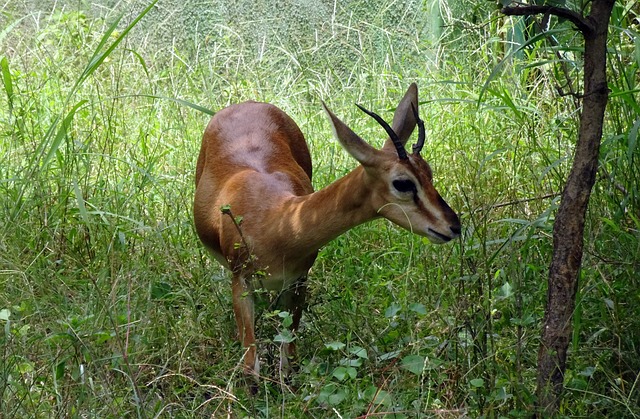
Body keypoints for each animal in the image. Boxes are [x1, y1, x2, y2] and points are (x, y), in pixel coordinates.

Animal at [192, 83, 458, 382]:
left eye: (429, 173)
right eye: (403, 182)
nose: (453, 226)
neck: (279, 221)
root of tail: (247, 103)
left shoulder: (298, 279)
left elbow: (289, 359)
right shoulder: (241, 281)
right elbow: (252, 367)